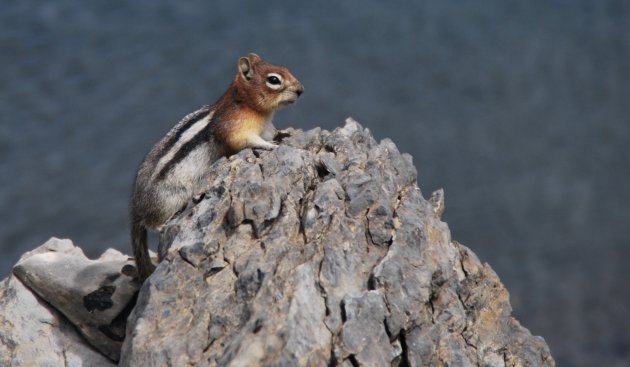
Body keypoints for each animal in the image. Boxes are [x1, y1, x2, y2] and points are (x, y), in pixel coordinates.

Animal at [130, 52, 304, 282]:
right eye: (274, 80)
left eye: (286, 68)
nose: (301, 90)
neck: (247, 103)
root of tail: (135, 206)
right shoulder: (235, 127)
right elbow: (246, 141)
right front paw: (269, 145)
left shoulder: (264, 127)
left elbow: (272, 132)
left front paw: (283, 134)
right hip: (170, 197)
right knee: (151, 222)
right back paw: (164, 223)